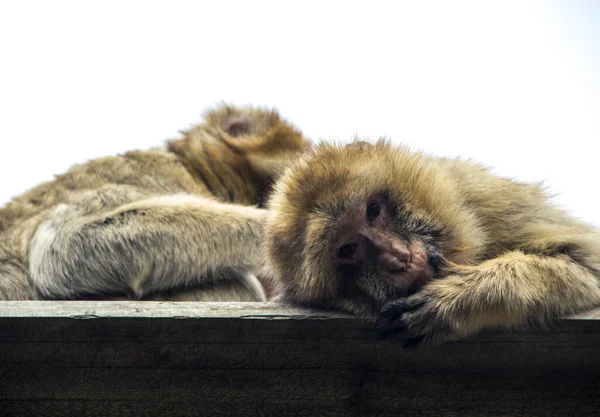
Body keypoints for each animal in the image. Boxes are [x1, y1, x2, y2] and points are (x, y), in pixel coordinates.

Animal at [264, 140, 600, 344]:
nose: (398, 257)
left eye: (373, 210)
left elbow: (586, 263)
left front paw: (455, 297)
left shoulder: (487, 197)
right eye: (347, 250)